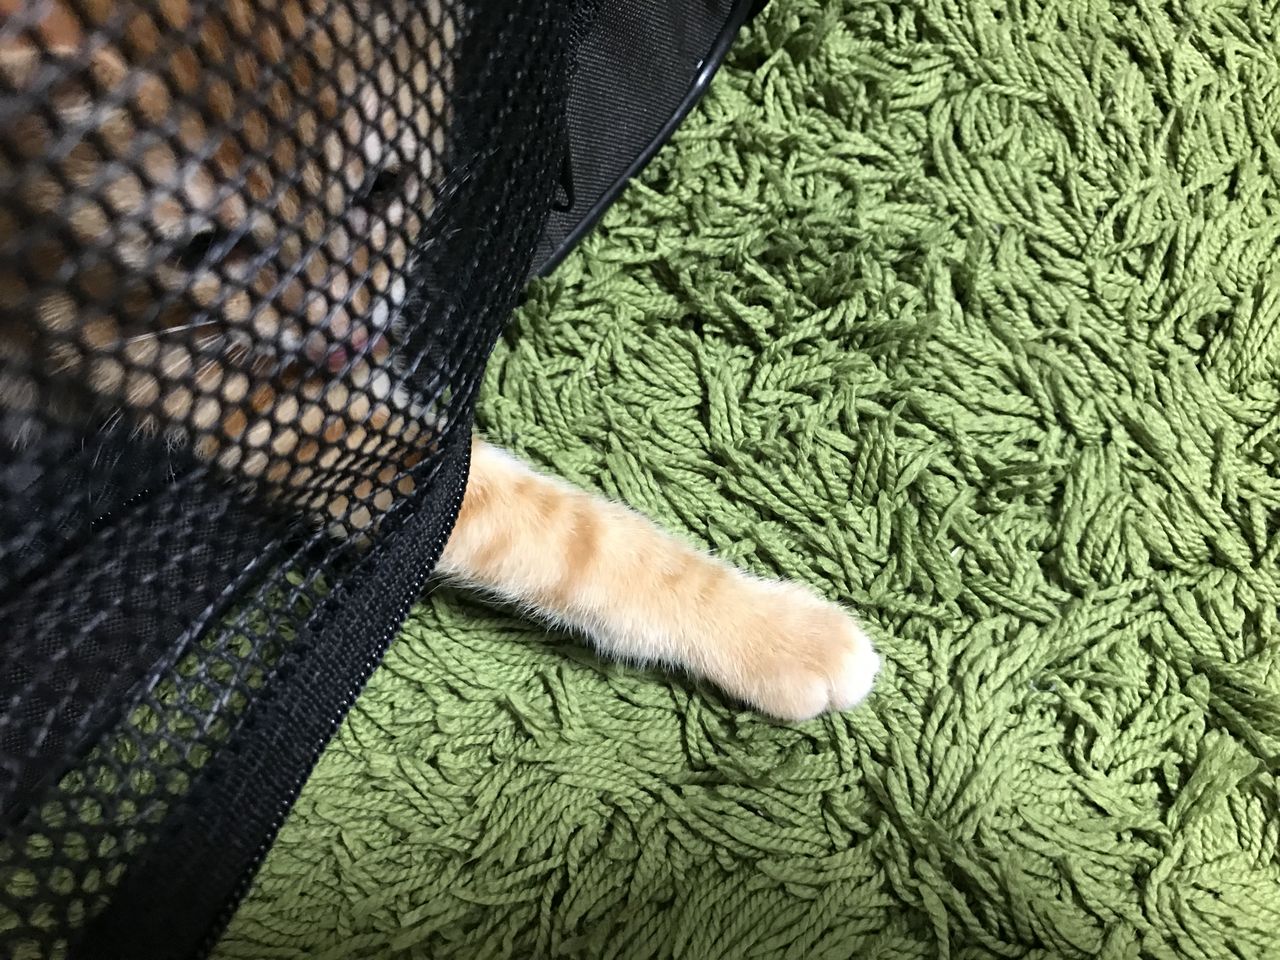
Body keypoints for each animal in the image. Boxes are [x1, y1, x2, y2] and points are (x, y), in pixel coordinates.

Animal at [0, 0, 878, 722]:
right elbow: (565, 538)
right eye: (204, 248)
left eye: (382, 185)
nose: (349, 337)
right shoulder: (271, 412)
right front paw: (781, 636)